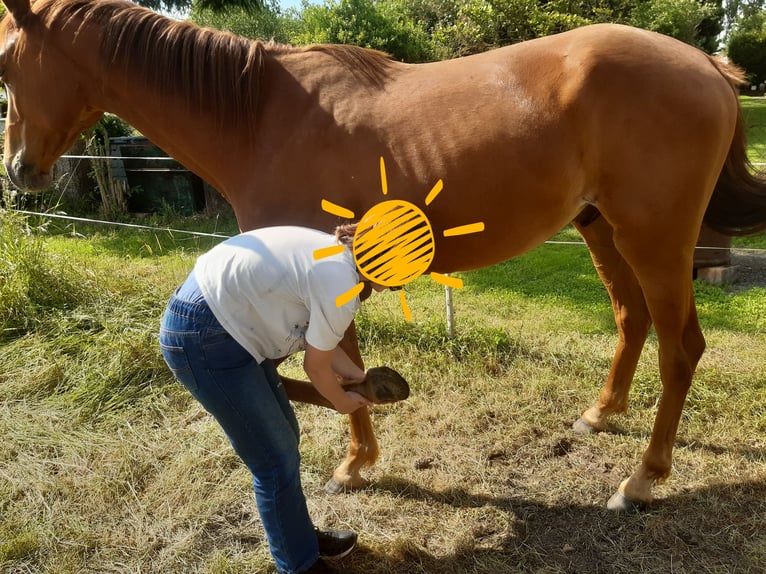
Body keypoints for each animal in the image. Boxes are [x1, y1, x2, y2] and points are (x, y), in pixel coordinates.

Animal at [1, 0, 766, 512]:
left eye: (6, 62)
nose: (19, 171)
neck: (259, 117)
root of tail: (704, 64)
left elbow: (341, 371)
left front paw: (354, 466)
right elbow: (348, 368)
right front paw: (362, 454)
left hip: (654, 237)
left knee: (679, 348)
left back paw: (642, 479)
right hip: (601, 230)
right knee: (632, 321)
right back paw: (599, 415)